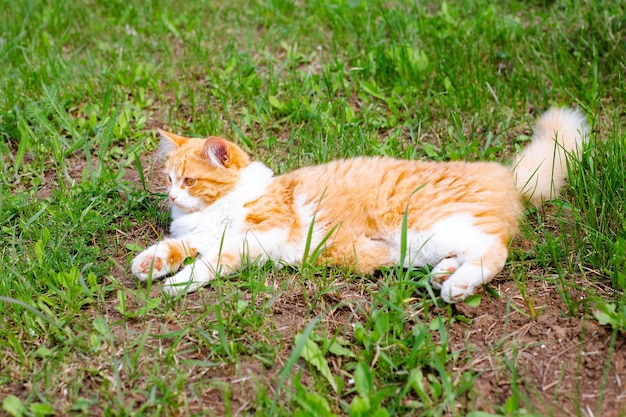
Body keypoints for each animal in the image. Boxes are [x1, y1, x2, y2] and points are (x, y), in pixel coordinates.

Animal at [129, 107, 588, 302]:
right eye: (167, 179)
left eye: (189, 180)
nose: (171, 196)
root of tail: (501, 174)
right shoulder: (199, 236)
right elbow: (176, 246)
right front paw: (150, 263)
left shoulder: (257, 237)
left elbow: (210, 262)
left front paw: (178, 283)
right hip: (429, 241)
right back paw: (445, 273)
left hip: (428, 226)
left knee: (495, 249)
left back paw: (457, 286)